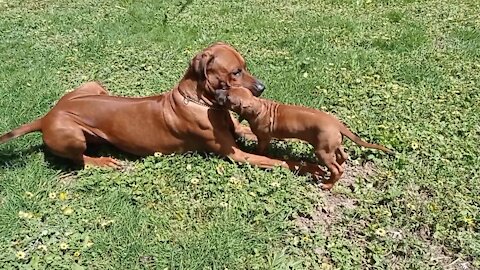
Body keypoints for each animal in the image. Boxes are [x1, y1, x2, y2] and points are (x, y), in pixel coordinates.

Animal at [0, 42, 322, 176]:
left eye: (245, 66)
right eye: (235, 72)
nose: (262, 88)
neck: (199, 101)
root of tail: (47, 116)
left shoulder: (237, 129)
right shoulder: (236, 155)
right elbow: (275, 161)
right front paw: (306, 166)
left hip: (93, 85)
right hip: (70, 134)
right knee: (79, 160)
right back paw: (102, 161)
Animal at [215, 87, 394, 190]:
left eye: (228, 98)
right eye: (228, 87)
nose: (216, 92)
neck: (260, 107)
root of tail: (337, 123)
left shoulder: (264, 138)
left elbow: (260, 150)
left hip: (322, 151)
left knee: (337, 169)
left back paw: (327, 185)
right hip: (332, 145)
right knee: (342, 156)